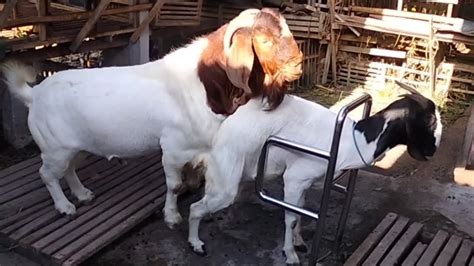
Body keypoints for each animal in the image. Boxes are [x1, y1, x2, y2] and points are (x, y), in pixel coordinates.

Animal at [0, 7, 304, 227]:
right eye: (264, 40)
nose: (298, 65)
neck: (204, 84)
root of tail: (34, 94)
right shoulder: (173, 147)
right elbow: (174, 184)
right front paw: (172, 217)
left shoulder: (203, 147)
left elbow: (193, 179)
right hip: (55, 147)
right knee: (47, 174)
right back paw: (65, 207)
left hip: (75, 146)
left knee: (69, 168)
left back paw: (83, 194)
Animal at [187, 82, 442, 264]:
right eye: (429, 120)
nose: (433, 149)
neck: (353, 140)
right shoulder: (295, 178)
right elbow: (291, 218)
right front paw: (291, 255)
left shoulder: (305, 182)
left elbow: (299, 212)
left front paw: (299, 242)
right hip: (228, 175)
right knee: (196, 207)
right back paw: (196, 243)